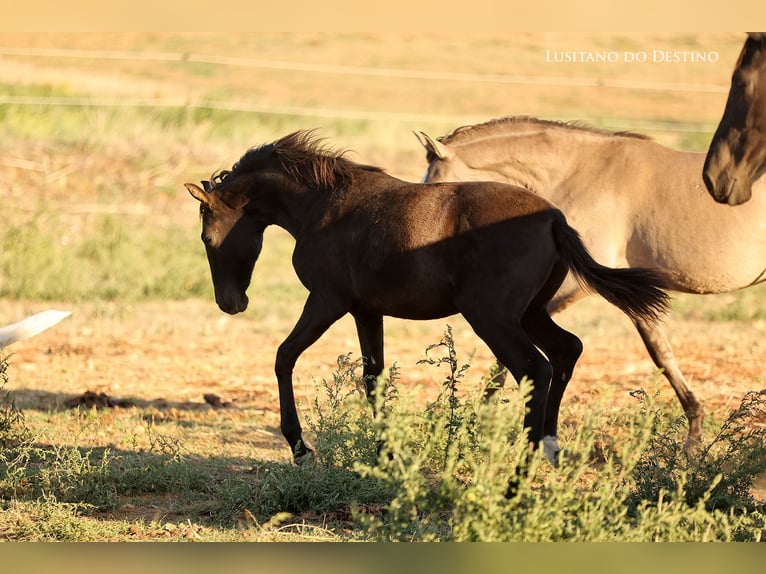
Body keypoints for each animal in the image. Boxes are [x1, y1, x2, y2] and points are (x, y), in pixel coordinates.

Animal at [187, 130, 669, 468]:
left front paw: (300, 447)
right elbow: (374, 378)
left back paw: (520, 473)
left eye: (207, 237)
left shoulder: (326, 301)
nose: (230, 304)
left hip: (493, 318)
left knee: (536, 368)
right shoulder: (365, 311)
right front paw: (386, 458)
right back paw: (549, 448)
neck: (323, 206)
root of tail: (553, 217)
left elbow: (284, 356)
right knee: (567, 350)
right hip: (529, 313)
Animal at [417, 116, 766, 449]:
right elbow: (661, 354)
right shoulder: (633, 293)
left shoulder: (577, 284)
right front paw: (693, 435)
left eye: (438, 185)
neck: (581, 171)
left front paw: (479, 421)